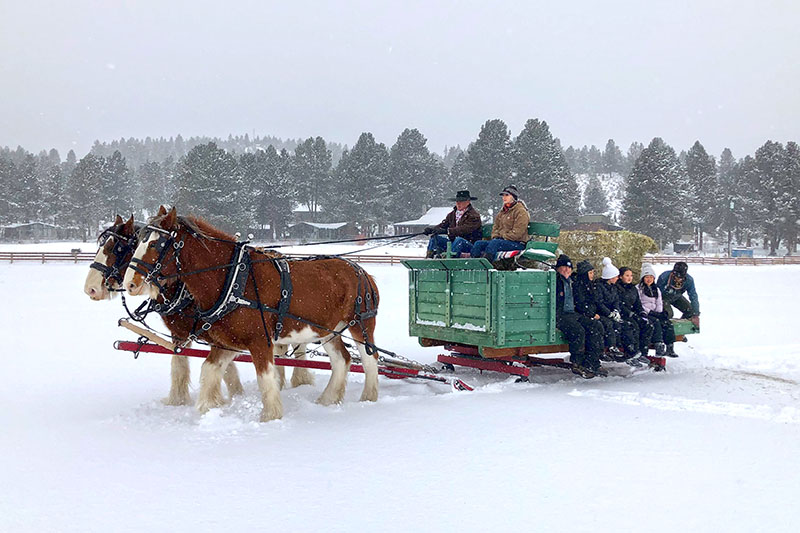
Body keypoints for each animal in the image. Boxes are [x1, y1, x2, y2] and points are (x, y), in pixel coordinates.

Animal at [122, 208, 382, 420]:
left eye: (155, 245)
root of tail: (363, 272)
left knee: (370, 360)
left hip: (360, 325)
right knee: (342, 361)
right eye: (138, 242)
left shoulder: (259, 340)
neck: (233, 279)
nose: (129, 284)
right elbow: (210, 370)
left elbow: (266, 378)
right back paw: (328, 399)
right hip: (328, 330)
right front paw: (209, 407)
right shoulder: (228, 341)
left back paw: (368, 398)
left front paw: (270, 417)